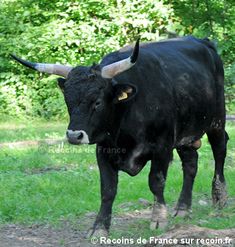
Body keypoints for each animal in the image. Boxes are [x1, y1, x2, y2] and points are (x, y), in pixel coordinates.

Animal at [11, 35, 229, 236]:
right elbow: (108, 190)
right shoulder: (103, 150)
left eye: (97, 102)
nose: (74, 135)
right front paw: (99, 227)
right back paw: (183, 208)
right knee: (191, 163)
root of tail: (203, 42)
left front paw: (158, 219)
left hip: (217, 119)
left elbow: (156, 182)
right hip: (186, 133)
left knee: (220, 151)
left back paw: (220, 198)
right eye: (68, 101)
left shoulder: (162, 147)